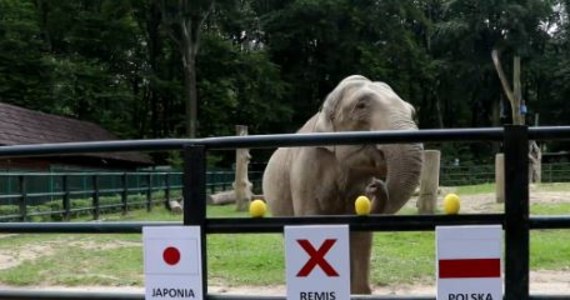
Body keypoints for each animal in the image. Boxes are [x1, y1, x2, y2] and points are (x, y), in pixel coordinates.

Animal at [262, 74, 422, 294]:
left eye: (412, 111)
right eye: (361, 106)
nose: (375, 186)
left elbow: (361, 235)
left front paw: (360, 292)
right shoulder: (306, 169)